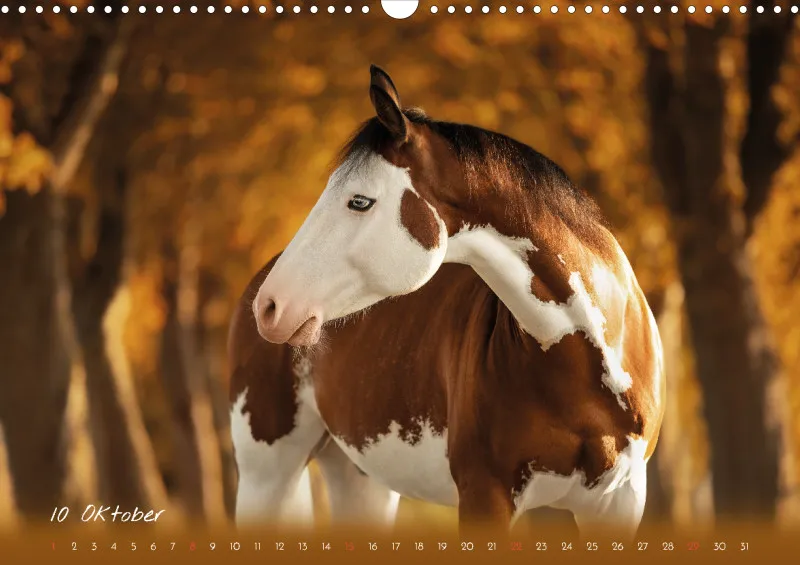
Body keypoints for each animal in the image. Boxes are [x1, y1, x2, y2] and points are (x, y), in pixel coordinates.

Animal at [228, 65, 665, 539]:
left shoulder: (618, 503)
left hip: (359, 477)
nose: (270, 306)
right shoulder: (484, 496)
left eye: (359, 201)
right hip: (267, 476)